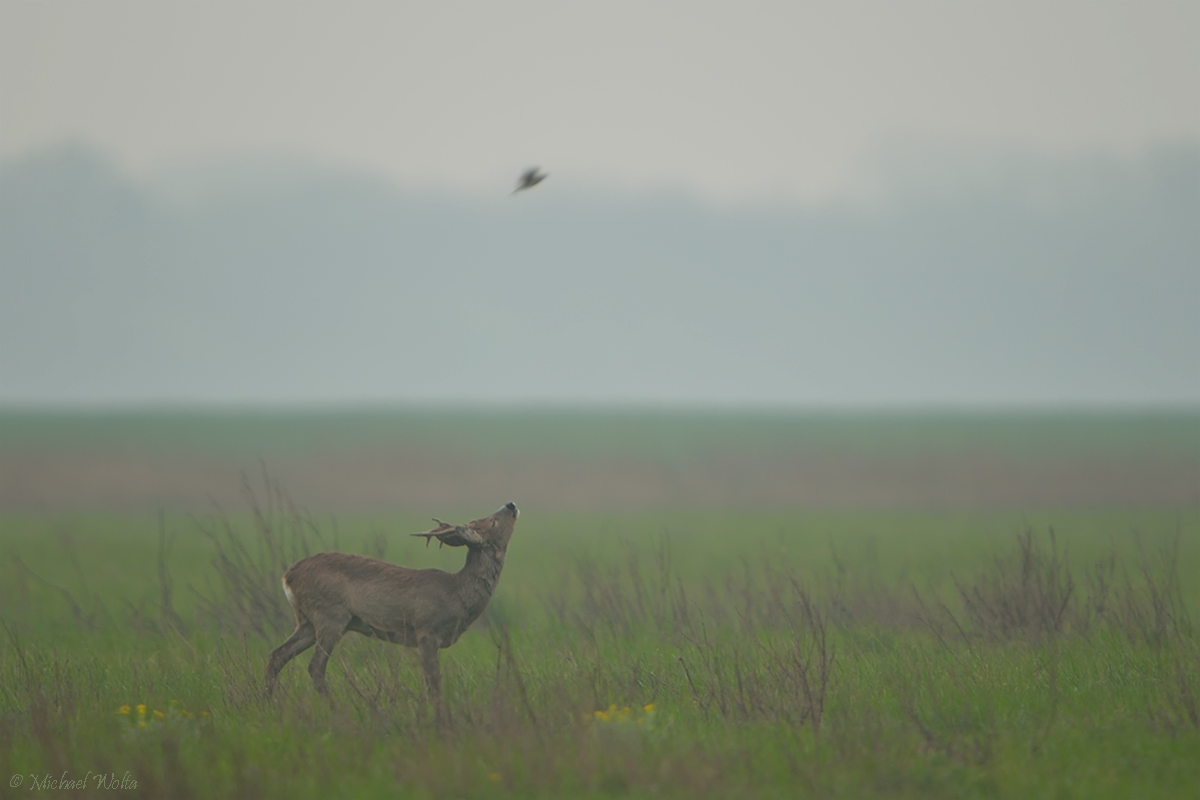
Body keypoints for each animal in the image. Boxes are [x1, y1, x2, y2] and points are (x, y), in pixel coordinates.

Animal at [265, 501, 518, 705]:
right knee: (315, 666)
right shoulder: (426, 630)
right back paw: (333, 709)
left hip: (307, 620)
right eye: (493, 522)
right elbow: (434, 682)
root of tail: (288, 576)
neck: (458, 595)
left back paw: (267, 703)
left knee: (277, 655)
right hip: (330, 615)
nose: (511, 504)